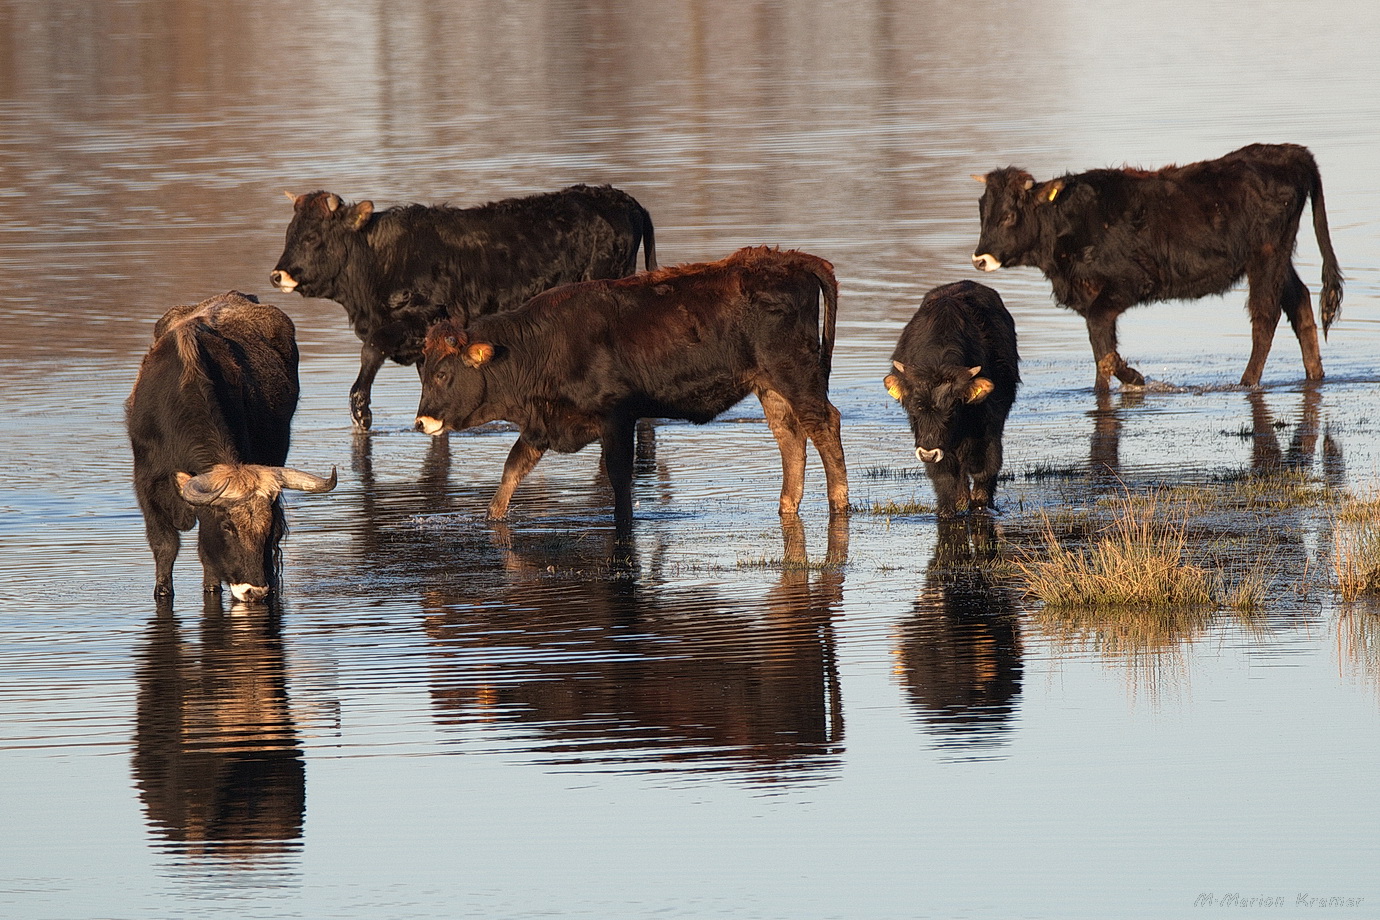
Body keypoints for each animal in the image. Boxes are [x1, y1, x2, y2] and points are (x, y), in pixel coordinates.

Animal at [127, 291, 339, 601]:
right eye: (227, 527)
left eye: (266, 527)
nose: (256, 591)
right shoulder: (147, 486)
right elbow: (165, 546)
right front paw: (162, 591)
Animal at [414, 246, 844, 532]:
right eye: (424, 369)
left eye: (442, 374)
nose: (421, 422)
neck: (542, 346)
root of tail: (794, 260)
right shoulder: (540, 427)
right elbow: (511, 471)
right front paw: (492, 515)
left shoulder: (616, 418)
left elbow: (619, 476)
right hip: (769, 385)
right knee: (790, 435)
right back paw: (787, 505)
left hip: (795, 374)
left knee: (823, 424)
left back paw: (840, 502)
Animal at [971, 142, 1335, 394]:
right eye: (981, 211)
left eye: (1008, 215)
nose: (979, 258)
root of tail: (1291, 152)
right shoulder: (1090, 293)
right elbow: (1100, 345)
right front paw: (1103, 388)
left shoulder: (1128, 283)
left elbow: (1103, 344)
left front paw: (1134, 377)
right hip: (1278, 259)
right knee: (1299, 301)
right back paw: (1315, 374)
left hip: (1266, 255)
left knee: (1265, 315)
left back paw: (1247, 381)